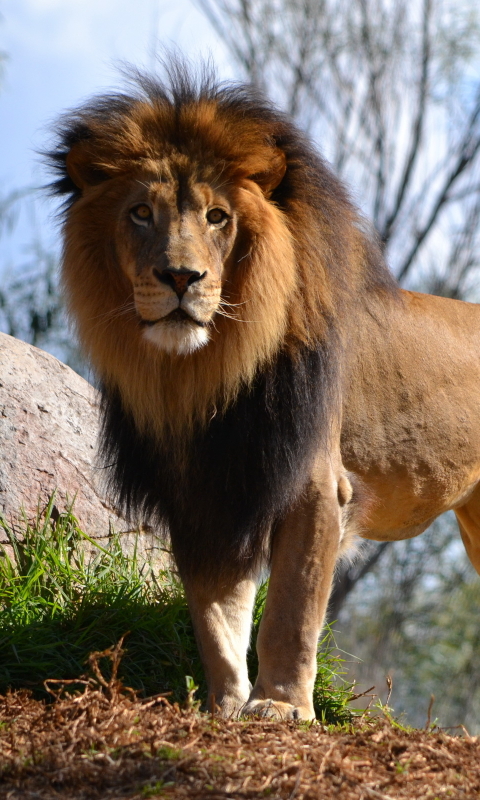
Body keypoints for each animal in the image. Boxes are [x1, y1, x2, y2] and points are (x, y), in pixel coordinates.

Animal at [47, 62, 480, 720]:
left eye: (217, 217)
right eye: (141, 213)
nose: (180, 277)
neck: (204, 374)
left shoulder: (314, 482)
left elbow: (290, 613)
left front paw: (281, 707)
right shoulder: (202, 491)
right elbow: (215, 615)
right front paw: (225, 706)